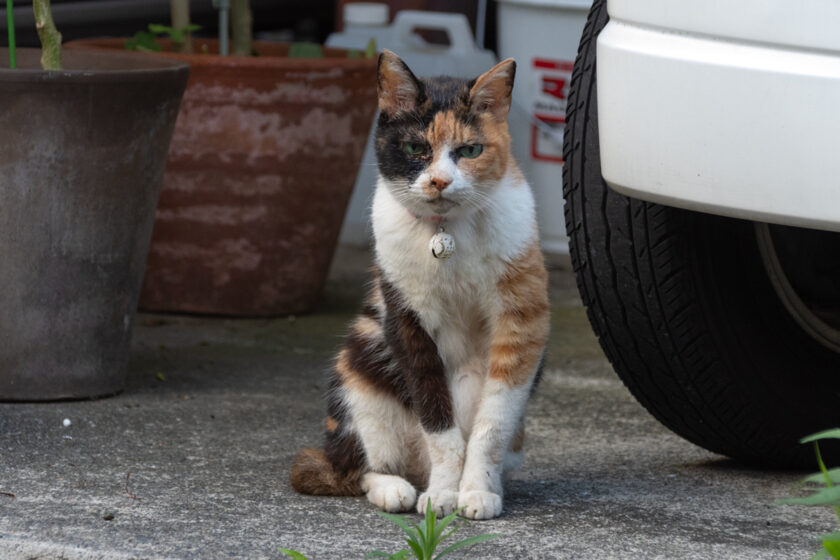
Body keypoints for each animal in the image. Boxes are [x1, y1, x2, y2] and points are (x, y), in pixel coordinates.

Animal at [290, 50, 552, 520]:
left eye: (470, 150)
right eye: (416, 148)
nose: (439, 180)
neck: (447, 232)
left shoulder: (522, 320)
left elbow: (491, 426)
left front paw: (476, 491)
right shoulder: (407, 321)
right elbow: (438, 423)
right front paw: (442, 495)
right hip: (357, 373)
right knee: (353, 467)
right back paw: (395, 489)